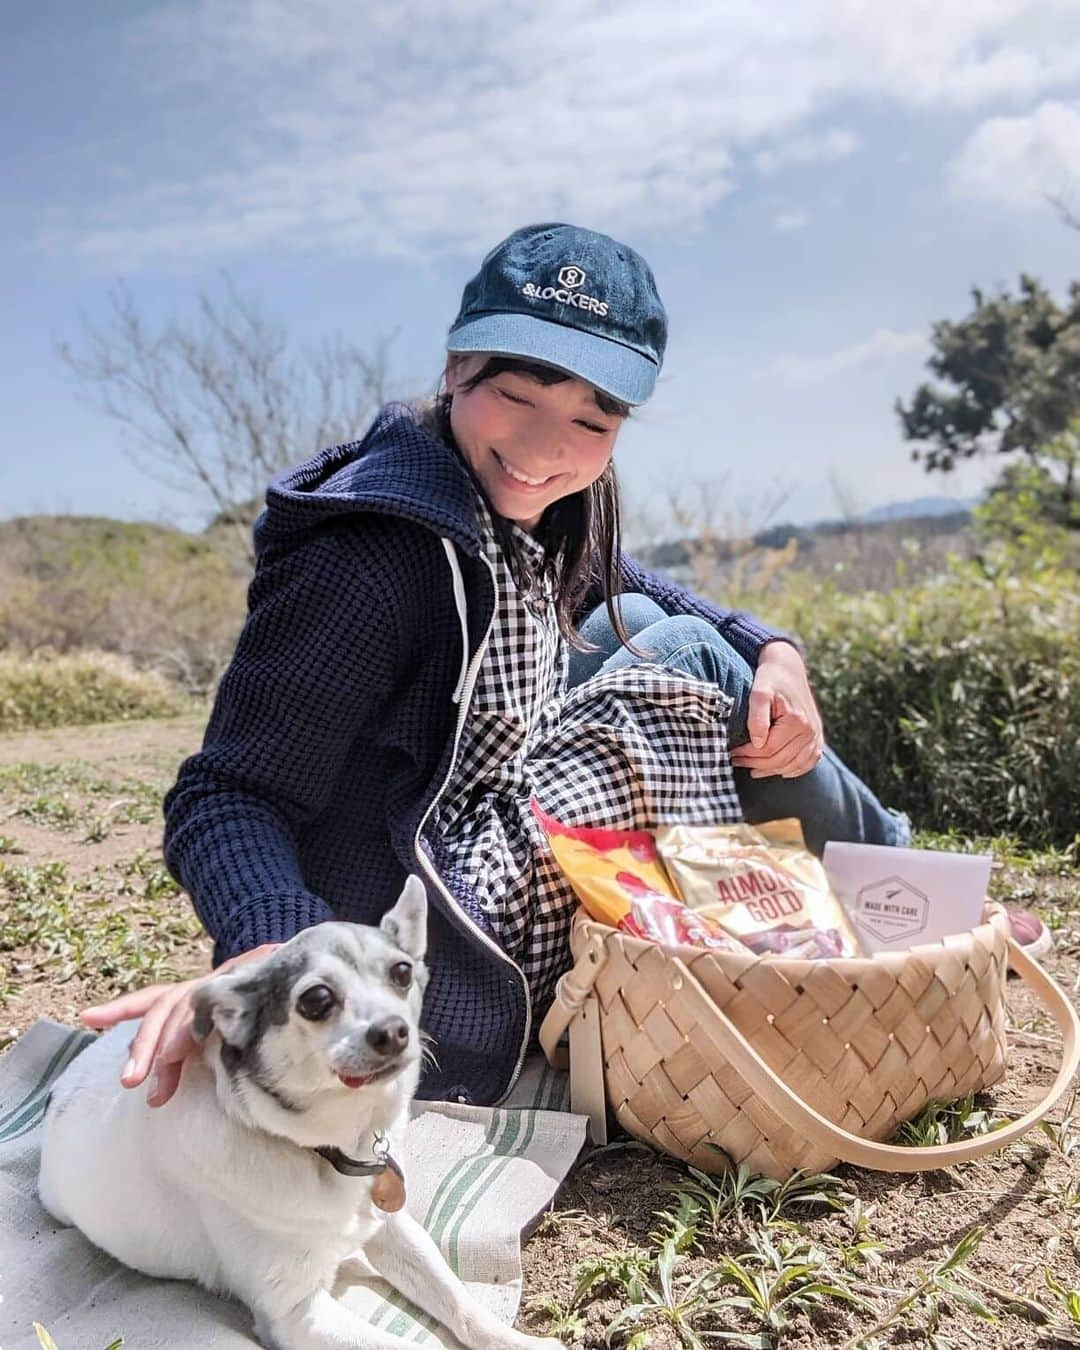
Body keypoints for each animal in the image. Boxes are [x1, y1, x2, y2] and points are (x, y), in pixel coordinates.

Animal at [37, 874, 561, 1350]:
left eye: (402, 972)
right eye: (317, 1000)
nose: (393, 1031)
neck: (331, 1150)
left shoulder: (395, 1228)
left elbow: (458, 1300)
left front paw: (517, 1342)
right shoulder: (297, 1316)